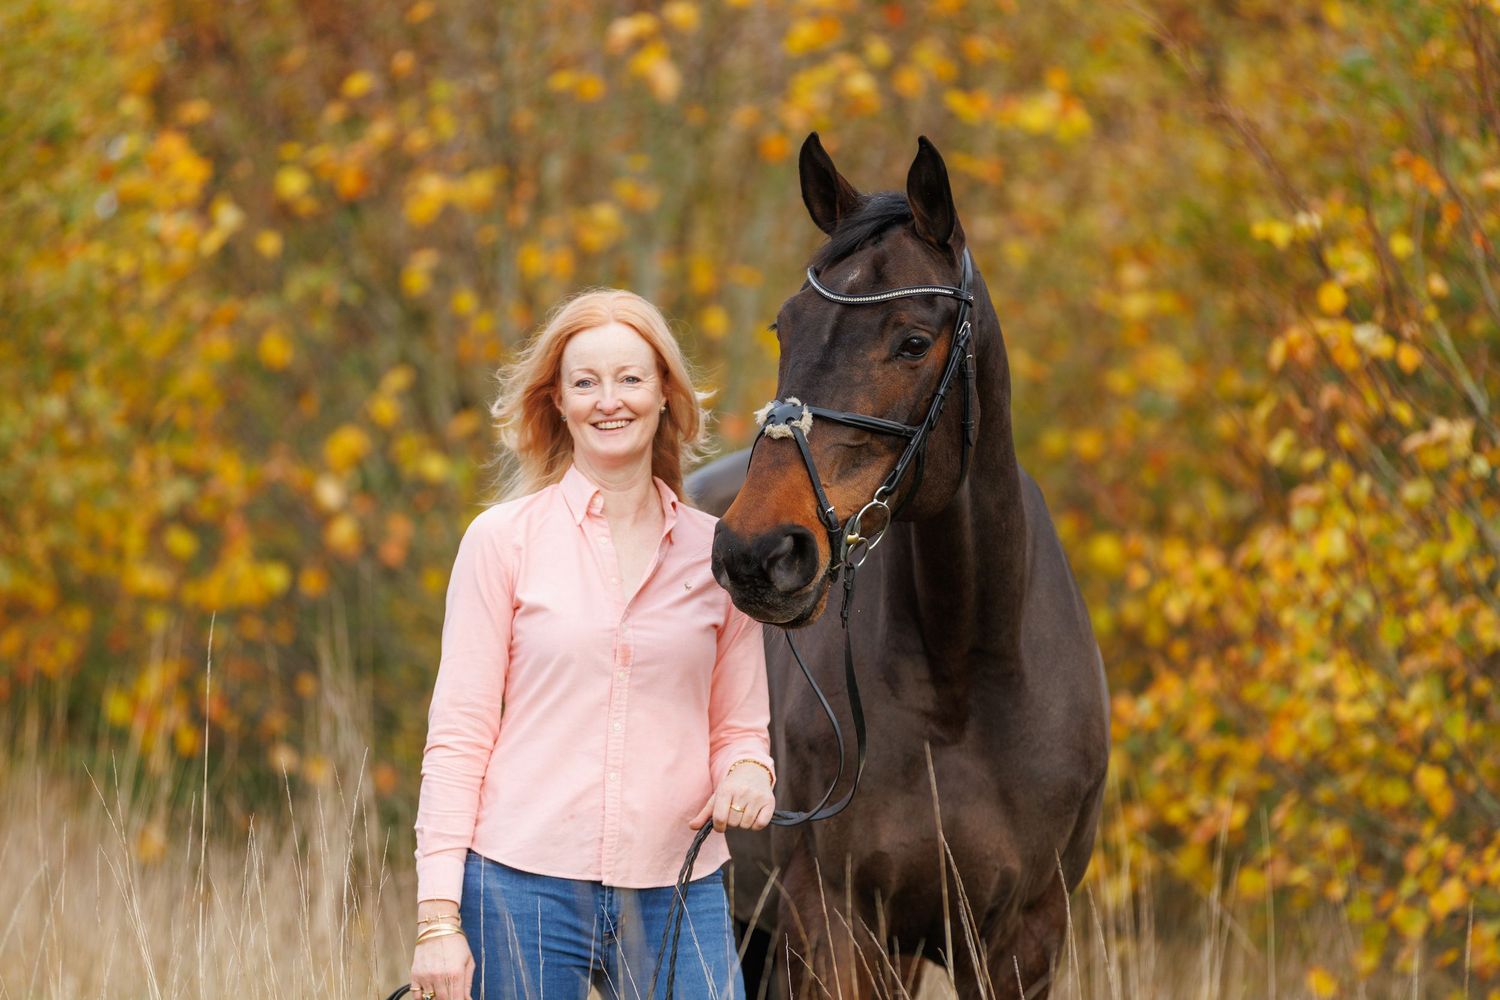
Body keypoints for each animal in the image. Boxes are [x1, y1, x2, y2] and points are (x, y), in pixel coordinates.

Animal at [690, 134, 1110, 999]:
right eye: (786, 327)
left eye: (913, 340)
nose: (758, 553)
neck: (967, 678)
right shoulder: (838, 925)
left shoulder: (1022, 938)